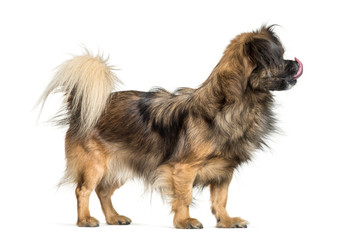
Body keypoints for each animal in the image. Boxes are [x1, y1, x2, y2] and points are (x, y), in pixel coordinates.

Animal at [38, 25, 304, 228]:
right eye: (278, 59)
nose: (294, 63)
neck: (231, 105)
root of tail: (80, 107)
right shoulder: (183, 169)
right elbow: (184, 196)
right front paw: (184, 222)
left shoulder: (223, 171)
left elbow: (221, 200)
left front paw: (226, 221)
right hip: (96, 165)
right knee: (83, 190)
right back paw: (85, 219)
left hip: (121, 165)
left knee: (103, 192)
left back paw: (114, 218)